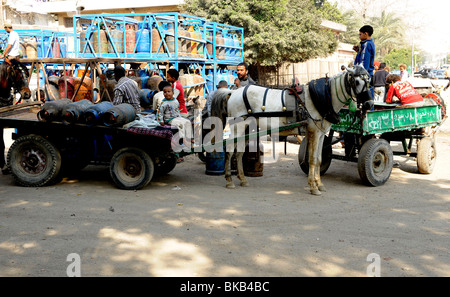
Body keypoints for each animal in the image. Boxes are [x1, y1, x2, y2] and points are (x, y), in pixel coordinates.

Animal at [211, 65, 372, 194]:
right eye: (357, 82)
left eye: (369, 82)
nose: (369, 104)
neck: (321, 97)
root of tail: (233, 92)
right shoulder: (313, 132)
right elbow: (312, 159)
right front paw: (313, 187)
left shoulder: (321, 133)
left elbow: (319, 159)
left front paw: (319, 184)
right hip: (237, 126)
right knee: (230, 150)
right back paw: (229, 180)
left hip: (247, 128)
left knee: (239, 152)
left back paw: (243, 179)